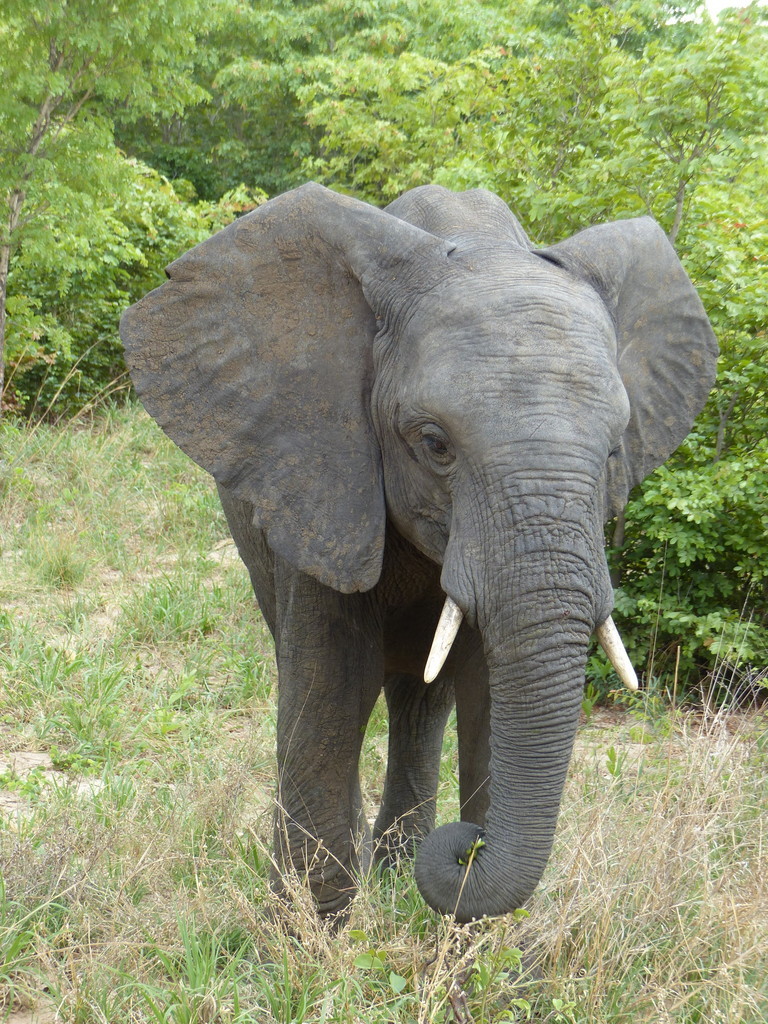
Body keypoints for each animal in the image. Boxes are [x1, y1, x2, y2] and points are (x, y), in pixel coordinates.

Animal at [120, 180, 720, 925]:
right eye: (433, 443)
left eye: (615, 450)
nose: (466, 848)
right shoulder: (321, 476)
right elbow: (330, 685)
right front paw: (307, 938)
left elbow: (490, 699)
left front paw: (483, 946)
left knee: (419, 699)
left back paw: (396, 862)